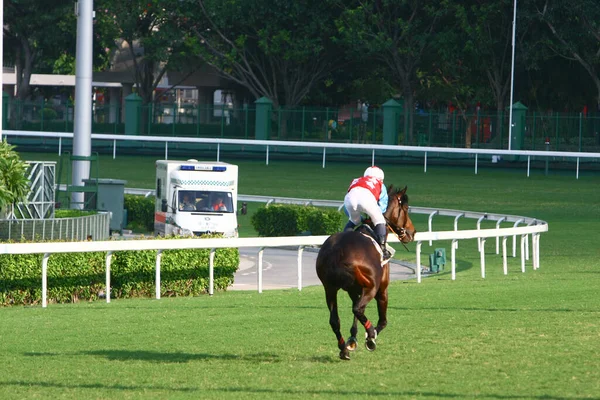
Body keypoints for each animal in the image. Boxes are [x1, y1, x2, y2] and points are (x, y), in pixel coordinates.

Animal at [316, 186, 414, 360]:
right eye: (406, 208)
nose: (412, 232)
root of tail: (337, 252)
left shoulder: (353, 289)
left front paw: (352, 339)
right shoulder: (381, 289)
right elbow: (382, 321)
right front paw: (370, 336)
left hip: (330, 289)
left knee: (335, 320)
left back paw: (344, 349)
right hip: (371, 288)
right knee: (358, 309)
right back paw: (370, 334)